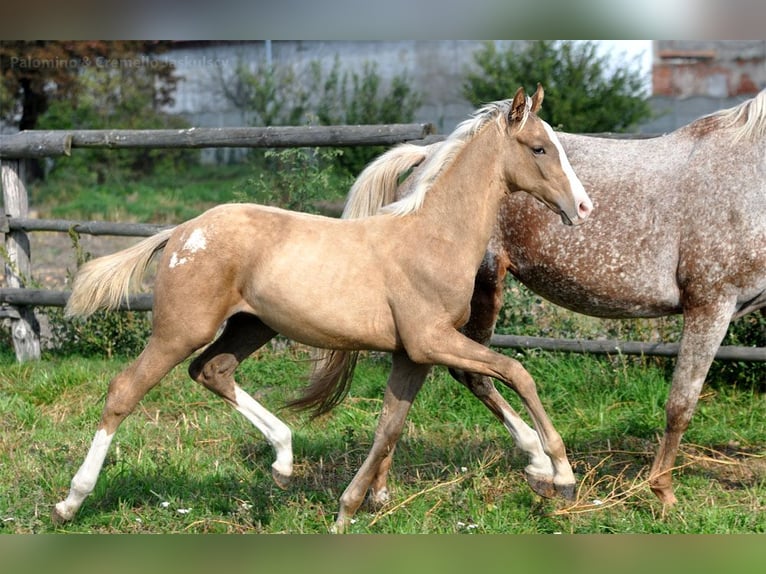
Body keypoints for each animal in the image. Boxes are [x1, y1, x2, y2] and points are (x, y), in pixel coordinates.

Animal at [51, 85, 593, 533]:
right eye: (539, 148)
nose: (584, 208)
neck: (433, 236)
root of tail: (181, 230)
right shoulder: (430, 340)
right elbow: (516, 372)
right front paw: (559, 474)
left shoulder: (413, 354)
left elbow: (390, 426)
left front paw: (348, 510)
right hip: (180, 329)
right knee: (125, 390)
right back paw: (71, 502)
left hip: (252, 326)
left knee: (212, 370)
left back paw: (283, 461)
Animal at [314, 88, 766, 510]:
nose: (581, 207)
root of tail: (427, 155)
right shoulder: (710, 304)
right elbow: (681, 403)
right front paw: (663, 493)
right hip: (481, 291)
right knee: (470, 373)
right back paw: (538, 467)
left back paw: (383, 491)